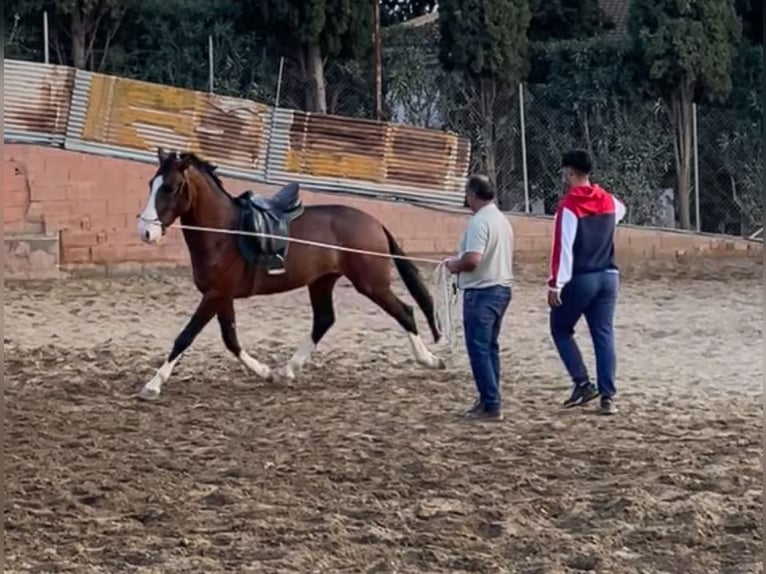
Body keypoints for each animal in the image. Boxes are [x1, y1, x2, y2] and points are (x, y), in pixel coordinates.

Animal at [133, 148, 444, 400]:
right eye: (151, 185)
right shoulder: (221, 297)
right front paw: (266, 372)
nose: (145, 232)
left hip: (371, 284)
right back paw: (287, 370)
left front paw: (152, 385)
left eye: (170, 187)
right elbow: (231, 340)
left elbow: (186, 337)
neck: (224, 234)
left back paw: (429, 359)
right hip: (322, 282)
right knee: (324, 320)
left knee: (405, 312)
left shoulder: (215, 295)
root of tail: (375, 222)